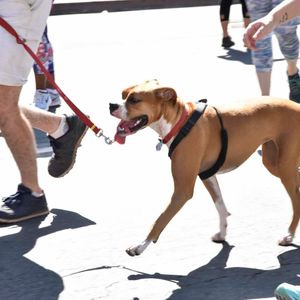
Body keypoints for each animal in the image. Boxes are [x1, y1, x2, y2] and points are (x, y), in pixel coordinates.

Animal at [109, 80, 300, 258]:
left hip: (284, 166)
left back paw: (289, 236)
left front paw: (140, 246)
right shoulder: (208, 176)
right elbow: (220, 205)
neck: (180, 123)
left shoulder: (182, 190)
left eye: (134, 100)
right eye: (124, 95)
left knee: (296, 199)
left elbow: (160, 219)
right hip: (273, 162)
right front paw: (222, 233)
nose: (111, 105)